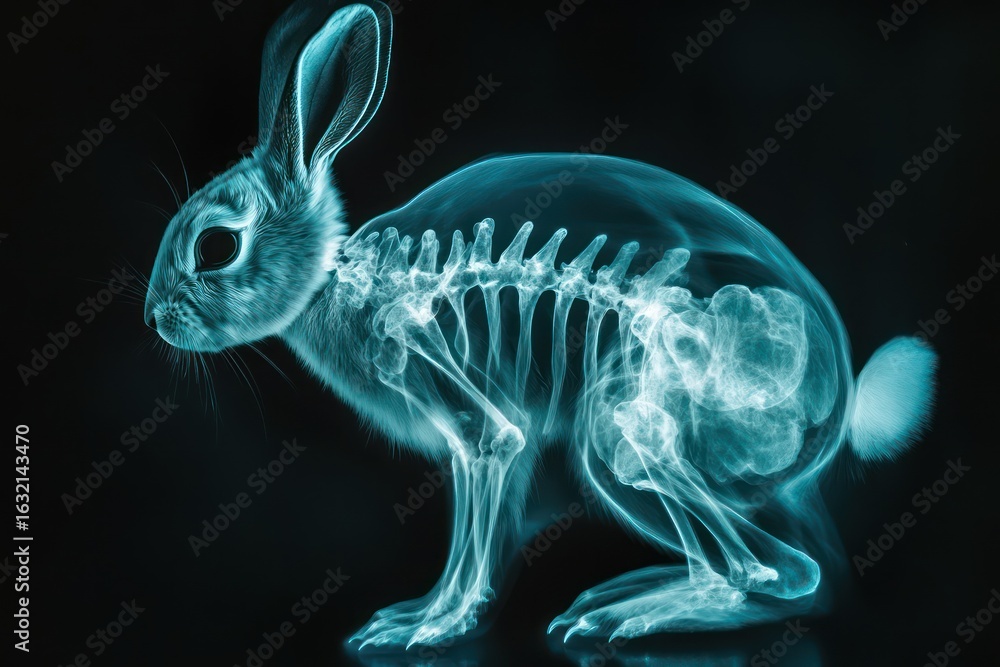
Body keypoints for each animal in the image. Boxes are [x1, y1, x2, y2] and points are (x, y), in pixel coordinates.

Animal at [144, 0, 937, 649]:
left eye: (215, 247)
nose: (156, 320)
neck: (341, 285)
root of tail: (832, 402)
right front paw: (420, 614)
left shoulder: (441, 377)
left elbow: (494, 452)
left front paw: (433, 627)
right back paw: (620, 599)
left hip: (627, 424)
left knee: (778, 570)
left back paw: (631, 618)